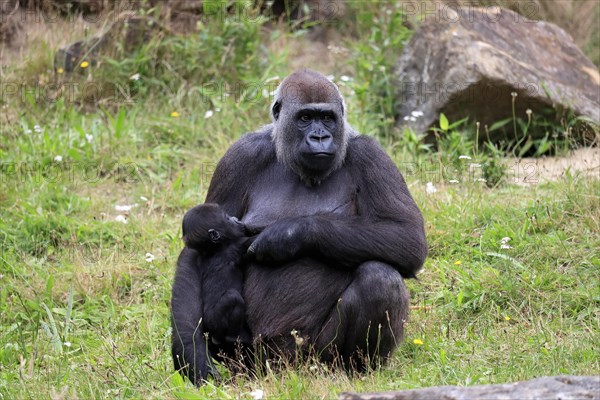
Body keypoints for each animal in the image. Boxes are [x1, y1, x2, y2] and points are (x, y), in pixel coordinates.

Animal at [184, 203, 256, 344]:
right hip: (214, 320)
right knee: (232, 298)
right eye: (227, 218)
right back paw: (231, 336)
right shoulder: (235, 246)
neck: (214, 249)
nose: (235, 218)